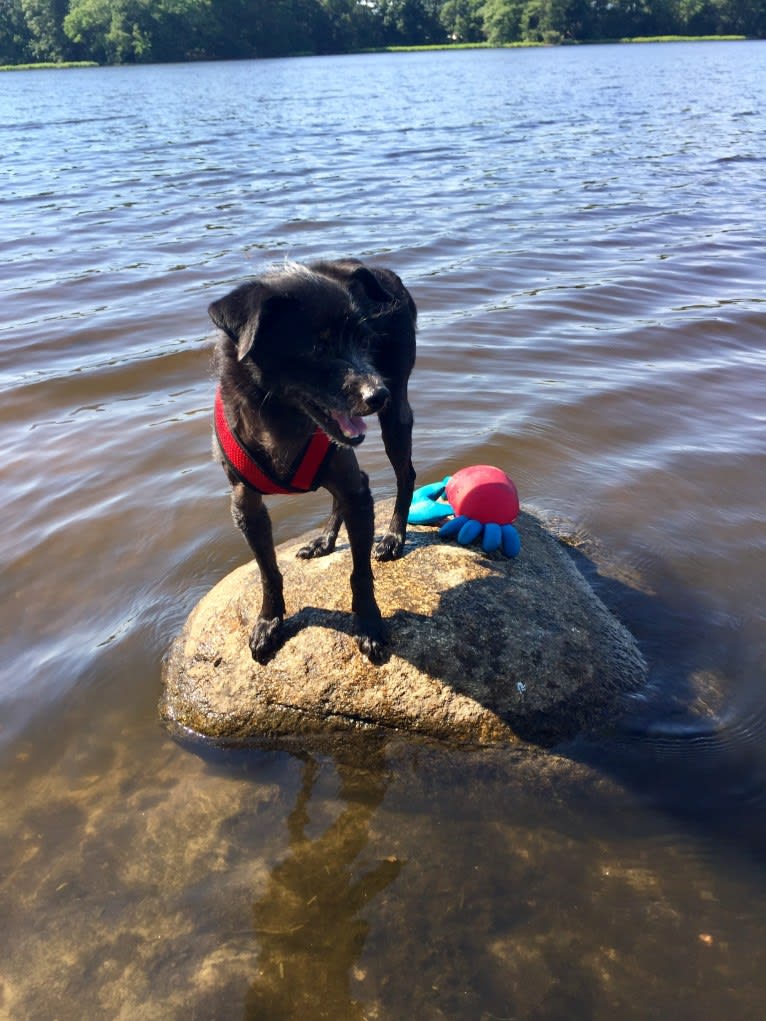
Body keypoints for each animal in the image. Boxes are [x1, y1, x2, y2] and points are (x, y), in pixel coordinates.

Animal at [207, 259, 416, 665]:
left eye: (364, 341)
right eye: (318, 347)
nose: (377, 394)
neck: (282, 419)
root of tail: (384, 272)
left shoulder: (356, 491)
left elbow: (360, 572)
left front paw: (369, 625)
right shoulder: (245, 504)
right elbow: (268, 572)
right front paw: (269, 622)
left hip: (396, 419)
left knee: (406, 474)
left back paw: (393, 536)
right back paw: (325, 540)